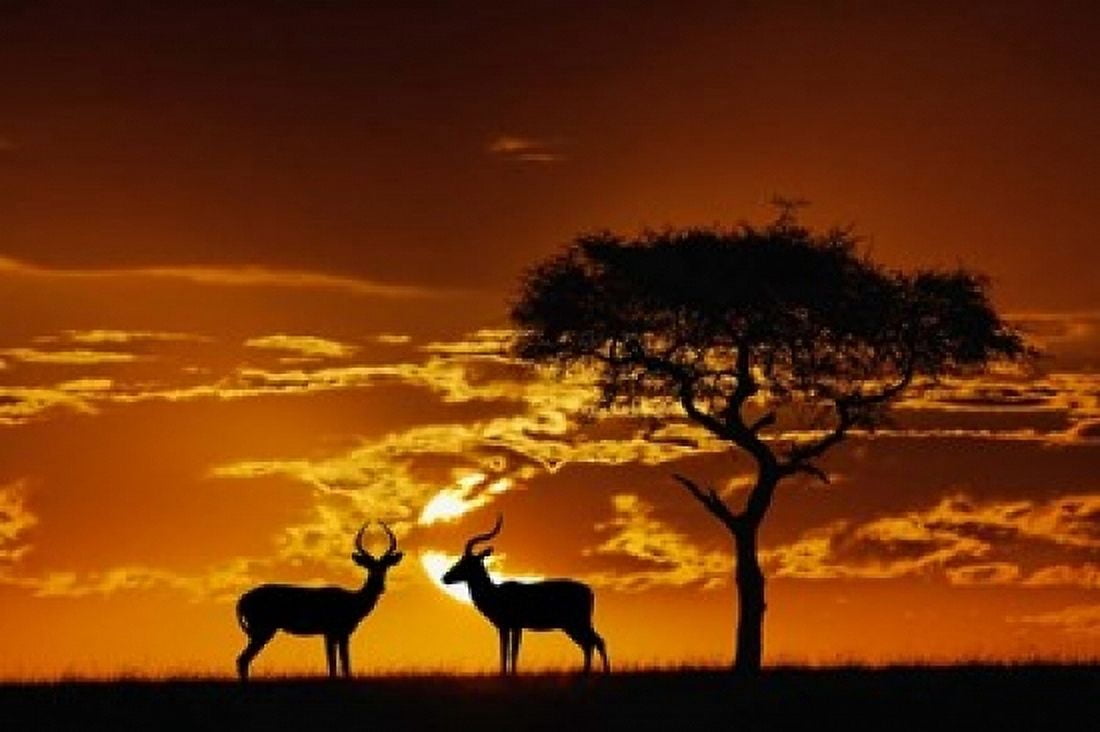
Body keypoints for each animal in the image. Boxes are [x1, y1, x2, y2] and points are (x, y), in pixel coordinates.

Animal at [235, 522, 403, 680]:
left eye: (385, 567)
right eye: (369, 567)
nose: (380, 586)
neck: (353, 602)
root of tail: (242, 600)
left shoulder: (337, 633)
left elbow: (338, 662)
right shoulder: (334, 632)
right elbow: (339, 663)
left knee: (243, 659)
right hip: (262, 629)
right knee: (242, 659)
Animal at [442, 516, 609, 675]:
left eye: (466, 562)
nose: (445, 577)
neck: (496, 594)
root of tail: (589, 591)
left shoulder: (513, 626)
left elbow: (511, 652)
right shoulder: (507, 627)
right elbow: (507, 651)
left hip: (576, 623)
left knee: (595, 642)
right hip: (573, 625)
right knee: (591, 643)